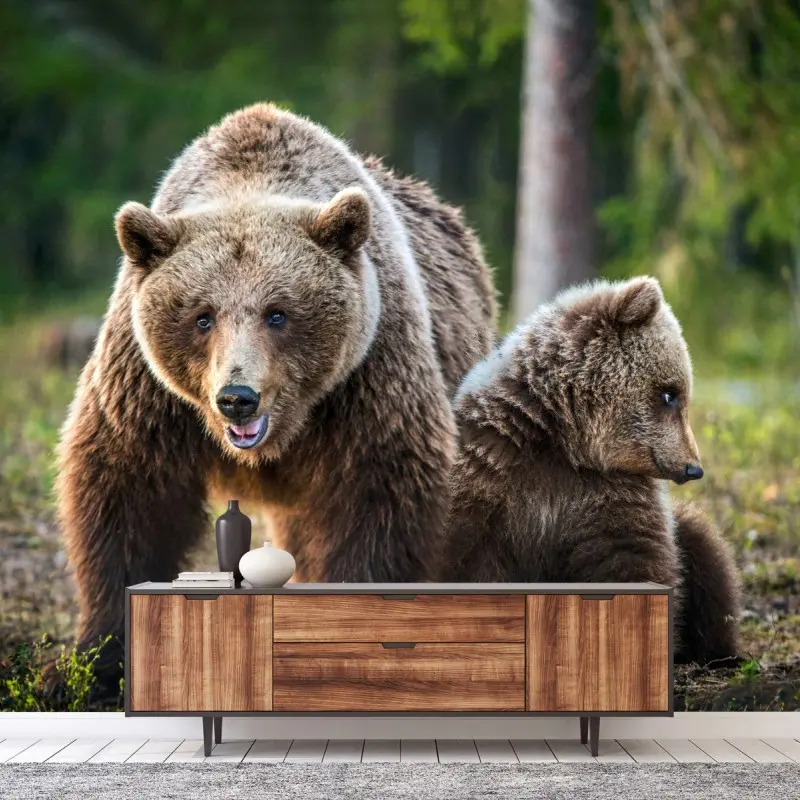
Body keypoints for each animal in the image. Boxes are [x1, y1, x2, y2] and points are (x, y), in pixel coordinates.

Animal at [55, 102, 498, 688]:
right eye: (202, 316)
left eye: (278, 313)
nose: (237, 397)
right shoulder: (148, 391)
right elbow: (126, 492)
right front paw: (95, 661)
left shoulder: (368, 378)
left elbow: (381, 493)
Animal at [439, 276, 741, 666]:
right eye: (669, 394)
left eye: (679, 393)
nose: (693, 467)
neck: (565, 441)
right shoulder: (491, 472)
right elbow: (470, 561)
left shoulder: (610, 493)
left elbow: (631, 558)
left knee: (705, 552)